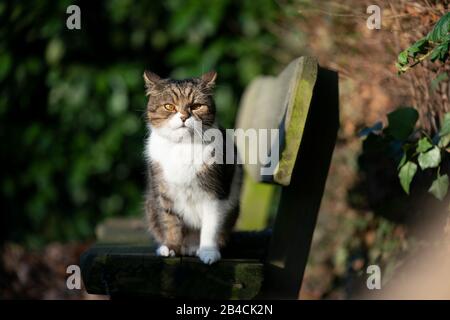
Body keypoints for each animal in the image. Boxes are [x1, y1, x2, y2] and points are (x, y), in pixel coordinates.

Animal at [144, 70, 243, 264]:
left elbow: (211, 226)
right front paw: (171, 247)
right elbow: (170, 222)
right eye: (169, 106)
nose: (184, 116)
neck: (183, 147)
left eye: (196, 106)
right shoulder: (164, 193)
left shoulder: (214, 193)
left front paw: (208, 252)